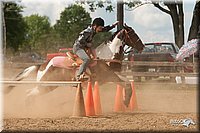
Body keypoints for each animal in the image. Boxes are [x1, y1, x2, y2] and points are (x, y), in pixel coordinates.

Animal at [4, 23, 145, 107]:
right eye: (132, 33)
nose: (142, 46)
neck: (105, 56)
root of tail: (42, 66)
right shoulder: (109, 76)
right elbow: (126, 84)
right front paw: (126, 102)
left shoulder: (114, 75)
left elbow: (127, 83)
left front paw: (125, 101)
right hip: (46, 86)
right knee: (29, 93)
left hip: (48, 86)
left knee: (29, 93)